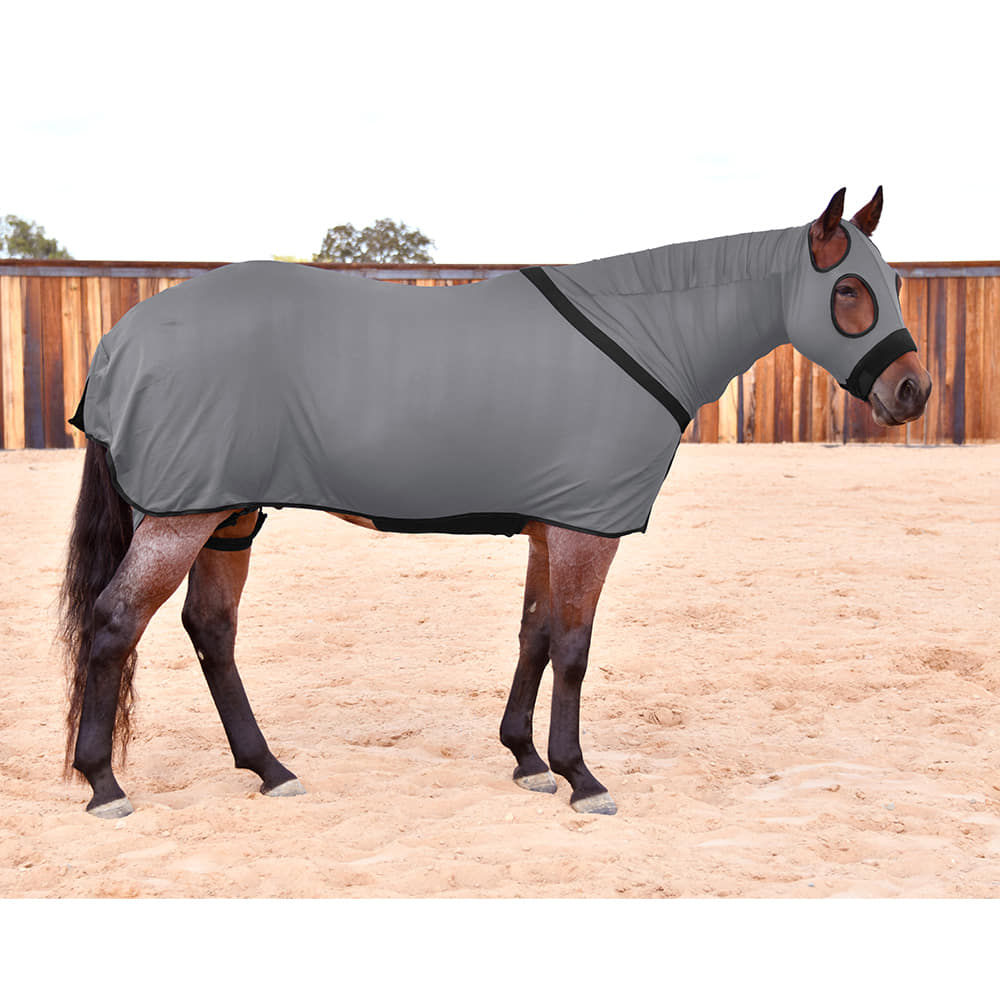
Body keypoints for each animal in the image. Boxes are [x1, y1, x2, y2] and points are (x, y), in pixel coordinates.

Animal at [60, 187, 931, 819]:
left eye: (890, 284)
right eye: (849, 288)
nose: (913, 392)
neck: (643, 331)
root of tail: (123, 339)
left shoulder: (553, 526)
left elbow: (535, 636)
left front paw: (527, 760)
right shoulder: (586, 531)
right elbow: (574, 648)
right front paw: (583, 778)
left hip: (230, 517)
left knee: (211, 630)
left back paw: (270, 769)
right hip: (184, 517)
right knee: (116, 623)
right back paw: (104, 784)